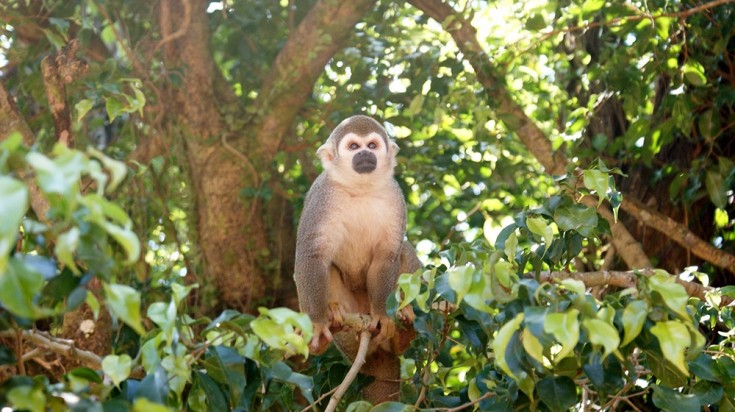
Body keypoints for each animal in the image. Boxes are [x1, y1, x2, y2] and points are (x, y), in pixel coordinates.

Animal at [294, 115, 421, 403]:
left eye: (372, 145)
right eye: (353, 147)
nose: (364, 154)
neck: (359, 188)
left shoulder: (395, 196)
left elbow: (387, 256)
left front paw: (382, 315)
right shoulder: (321, 196)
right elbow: (312, 256)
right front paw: (317, 322)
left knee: (402, 249)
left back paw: (402, 335)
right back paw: (330, 326)